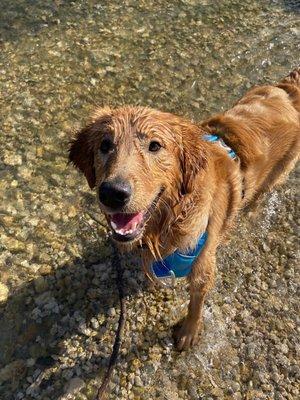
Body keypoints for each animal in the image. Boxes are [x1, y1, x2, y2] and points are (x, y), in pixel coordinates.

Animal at [68, 67, 300, 348]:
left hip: (280, 171)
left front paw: (188, 332)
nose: (113, 193)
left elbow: (195, 306)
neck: (170, 220)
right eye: (104, 145)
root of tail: (288, 92)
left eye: (155, 145)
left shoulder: (203, 268)